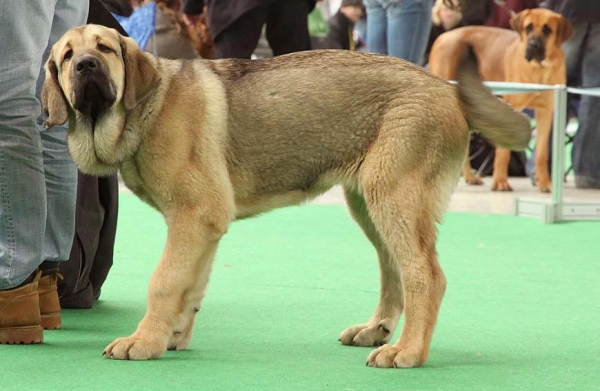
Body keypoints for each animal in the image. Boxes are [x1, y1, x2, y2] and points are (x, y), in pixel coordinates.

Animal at [42, 23, 528, 368]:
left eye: (104, 49)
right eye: (66, 56)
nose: (85, 66)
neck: (147, 106)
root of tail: (448, 89)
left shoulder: (194, 216)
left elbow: (164, 281)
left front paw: (143, 341)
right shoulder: (203, 225)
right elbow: (191, 285)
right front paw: (173, 337)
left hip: (394, 197)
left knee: (425, 276)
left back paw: (407, 352)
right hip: (371, 205)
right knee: (395, 273)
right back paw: (376, 331)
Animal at [432, 9, 572, 193]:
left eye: (547, 30)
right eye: (528, 28)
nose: (533, 44)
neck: (538, 70)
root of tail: (441, 37)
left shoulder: (546, 112)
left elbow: (541, 153)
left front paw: (545, 184)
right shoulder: (513, 107)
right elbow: (504, 152)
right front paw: (500, 182)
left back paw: (469, 177)